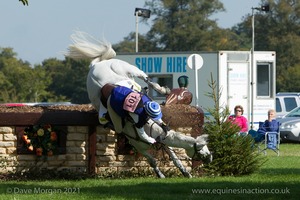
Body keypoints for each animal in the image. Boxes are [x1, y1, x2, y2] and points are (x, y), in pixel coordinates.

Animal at [64, 30, 212, 177]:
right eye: (202, 148)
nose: (210, 157)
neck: (148, 126)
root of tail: (95, 65)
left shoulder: (162, 136)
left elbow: (174, 157)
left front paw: (185, 172)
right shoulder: (139, 146)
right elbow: (152, 160)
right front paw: (161, 175)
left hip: (129, 69)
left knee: (147, 79)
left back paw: (162, 90)